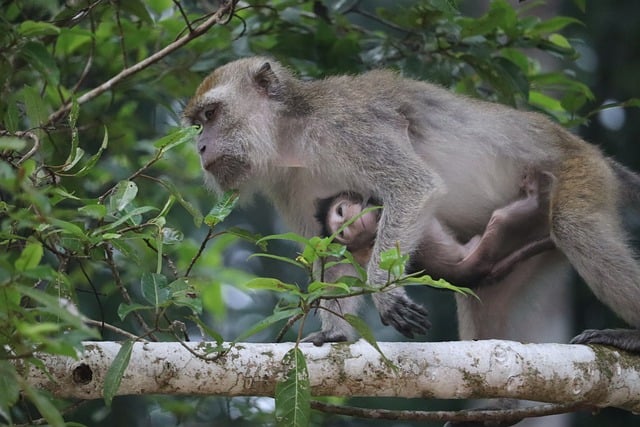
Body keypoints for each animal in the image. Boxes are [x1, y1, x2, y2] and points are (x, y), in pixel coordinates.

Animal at [316, 170, 556, 288]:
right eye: (343, 234)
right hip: (483, 252)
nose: (349, 225)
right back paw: (535, 195)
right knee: (500, 219)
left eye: (340, 211)